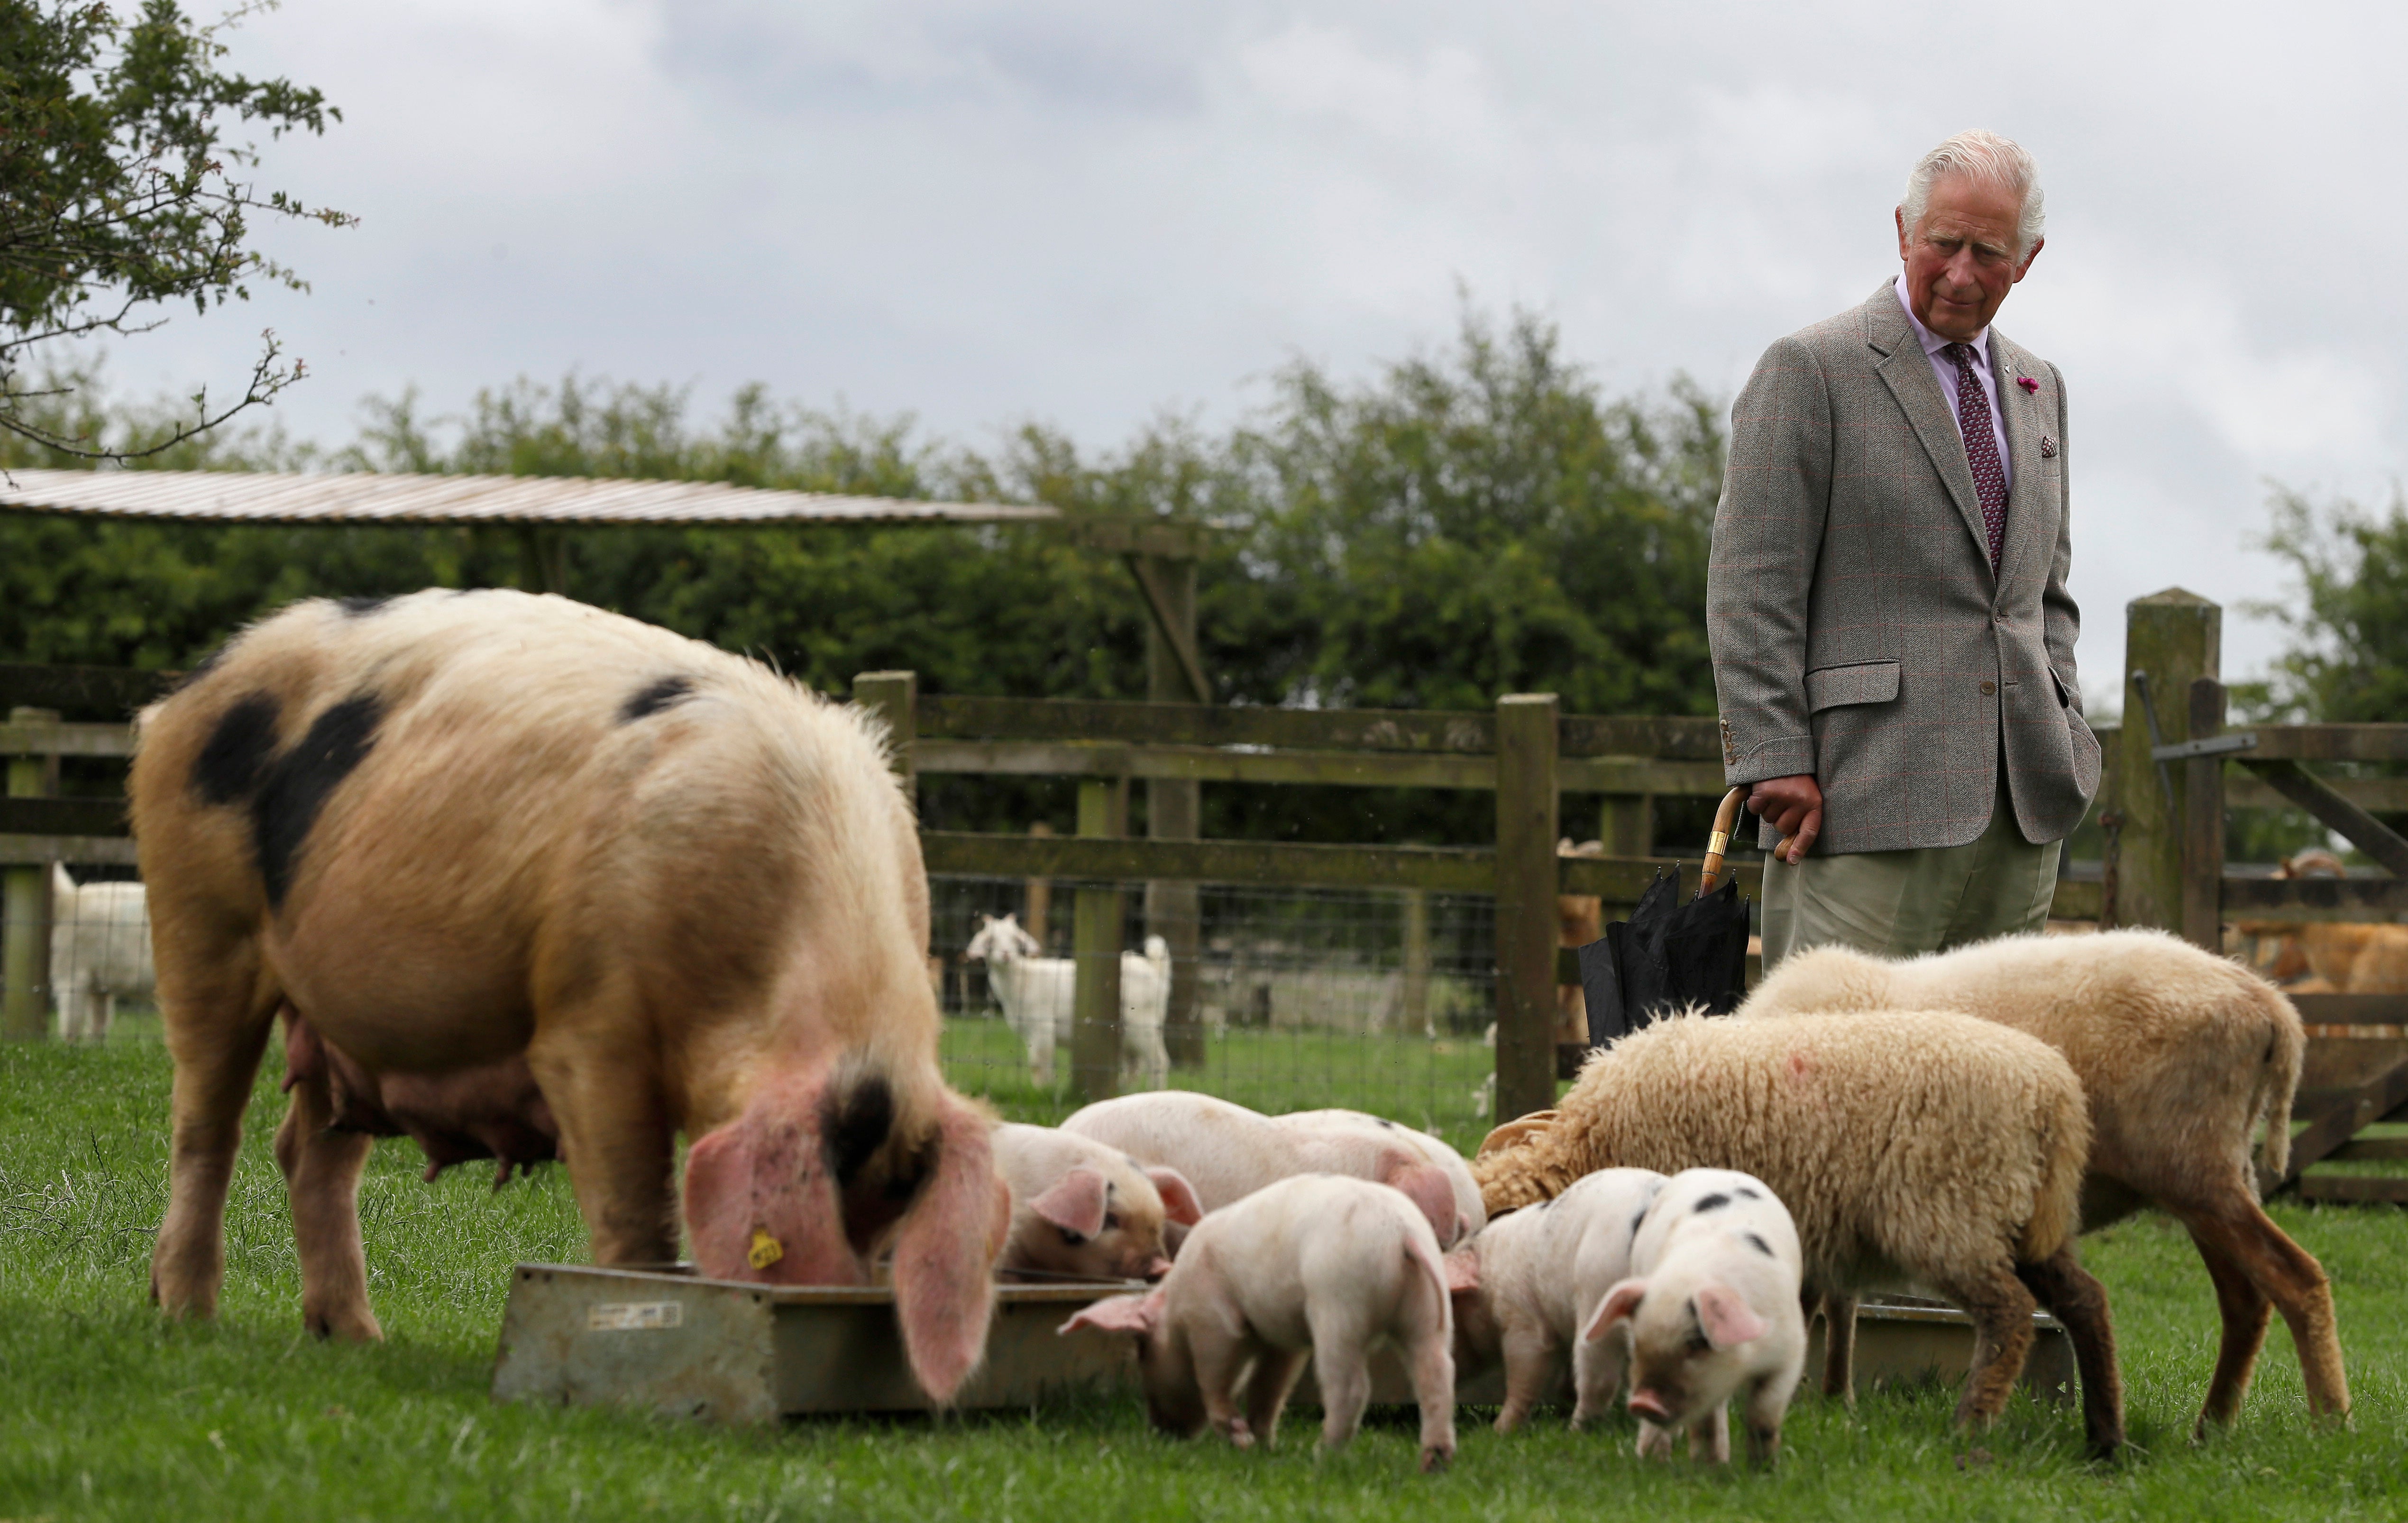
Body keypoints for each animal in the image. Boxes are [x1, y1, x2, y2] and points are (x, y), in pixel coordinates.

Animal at [48, 862, 153, 1041]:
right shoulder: (99, 985)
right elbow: (98, 1024)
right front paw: (94, 1047)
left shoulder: (73, 973)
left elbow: (71, 1022)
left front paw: (68, 1047)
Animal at [132, 593, 1016, 1407]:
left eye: (890, 1223)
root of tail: (186, 689)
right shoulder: (588, 1023)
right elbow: (636, 1211)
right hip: (197, 918)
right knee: (205, 1128)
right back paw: (186, 1317)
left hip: (340, 1019)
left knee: (308, 1151)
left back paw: (354, 1338)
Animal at [968, 911, 1175, 1089]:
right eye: (990, 940)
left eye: (1016, 940)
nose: (1006, 955)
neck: (1022, 978)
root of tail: (1156, 972)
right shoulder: (1030, 1033)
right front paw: (1045, 1089)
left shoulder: (1043, 1027)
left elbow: (1039, 1064)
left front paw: (1043, 1089)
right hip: (1125, 1032)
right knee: (1133, 1065)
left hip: (1143, 1024)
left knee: (1158, 1061)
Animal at [1464, 1007, 2128, 1455]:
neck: (1592, 1147)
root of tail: (2056, 1093)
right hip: (2020, 1218)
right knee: (2087, 1301)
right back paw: (2105, 1437)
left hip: (1950, 1210)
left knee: (2010, 1313)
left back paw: (1973, 1422)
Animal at [1743, 920, 2340, 1436]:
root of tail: (2265, 1001)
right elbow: (1838, 1299)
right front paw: (1834, 1396)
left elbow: (1816, 1298)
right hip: (2212, 1170)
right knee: (2246, 1298)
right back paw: (2211, 1428)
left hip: (2191, 1166)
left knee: (2295, 1278)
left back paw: (2330, 1422)